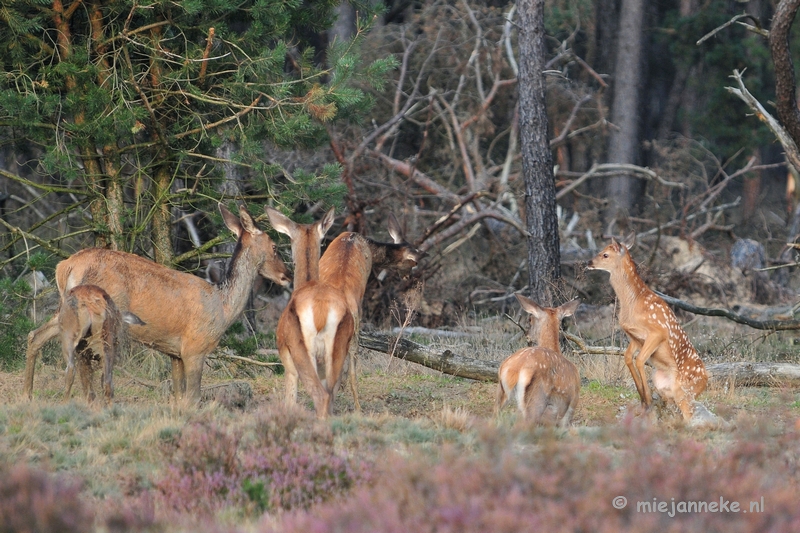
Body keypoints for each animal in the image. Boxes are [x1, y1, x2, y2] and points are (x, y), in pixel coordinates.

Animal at [24, 204, 294, 404]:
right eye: (274, 246)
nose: (287, 275)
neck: (222, 306)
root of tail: (64, 267)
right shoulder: (195, 347)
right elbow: (193, 398)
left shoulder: (174, 352)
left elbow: (178, 397)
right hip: (99, 316)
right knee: (87, 359)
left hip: (65, 311)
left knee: (36, 335)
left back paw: (30, 395)